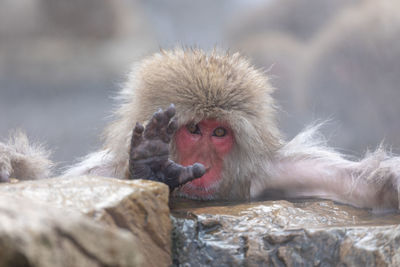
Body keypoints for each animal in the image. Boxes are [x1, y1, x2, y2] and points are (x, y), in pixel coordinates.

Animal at [0, 47, 400, 211]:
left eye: (218, 133)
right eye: (194, 129)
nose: (207, 155)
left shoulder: (276, 170)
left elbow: (359, 187)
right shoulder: (102, 175)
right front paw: (151, 162)